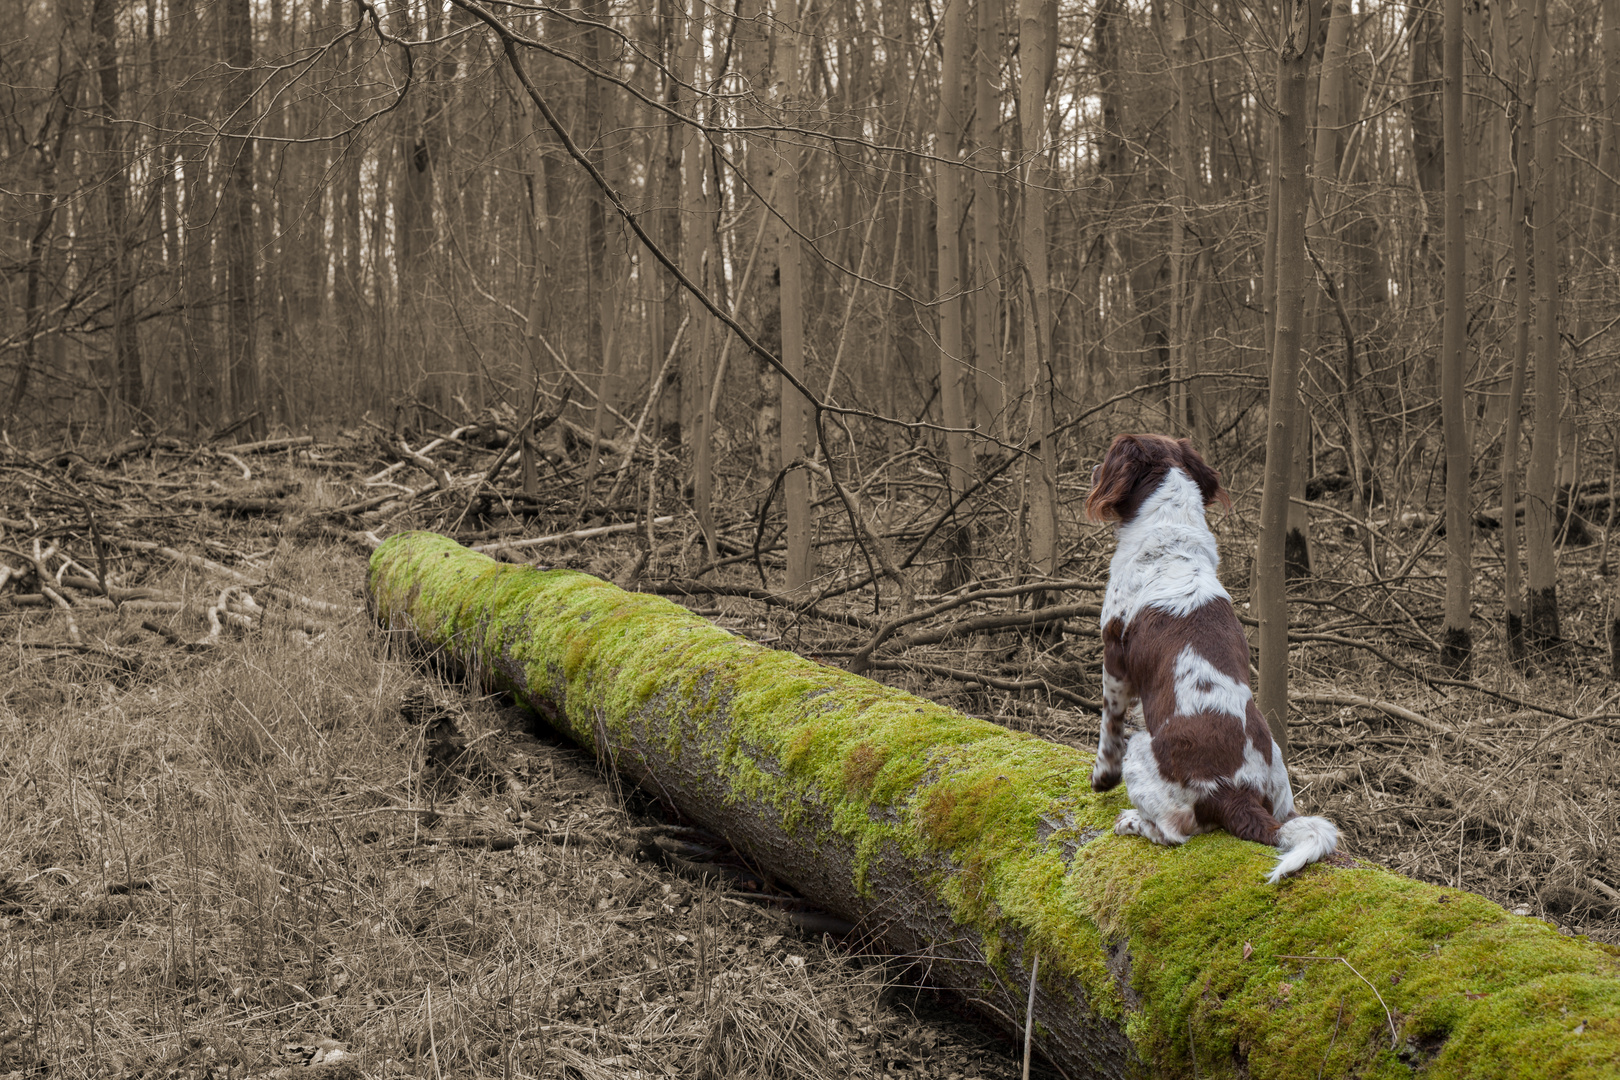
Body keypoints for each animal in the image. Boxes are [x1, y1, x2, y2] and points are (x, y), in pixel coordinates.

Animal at [1082, 433, 1334, 880]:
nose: (1092, 469)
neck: (1170, 540)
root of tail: (1237, 792)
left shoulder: (1114, 655)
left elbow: (1108, 723)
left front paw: (1102, 777)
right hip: (1281, 784)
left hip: (1142, 747)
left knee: (1174, 830)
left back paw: (1131, 821)